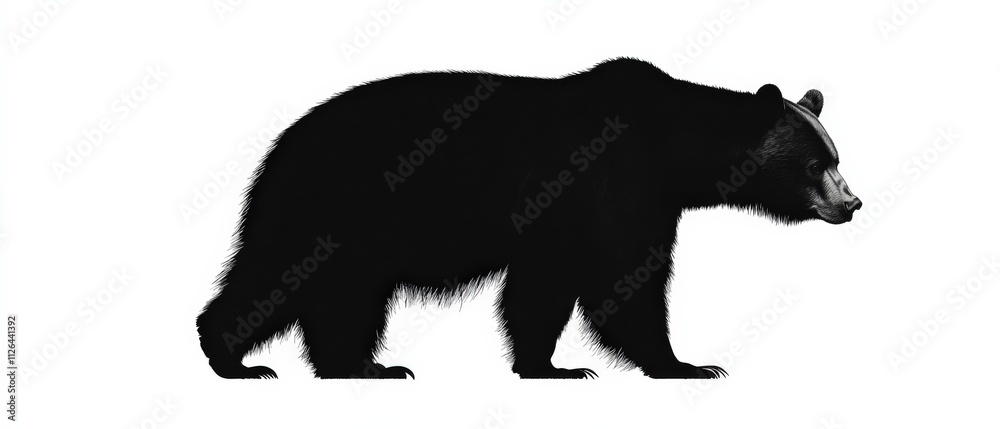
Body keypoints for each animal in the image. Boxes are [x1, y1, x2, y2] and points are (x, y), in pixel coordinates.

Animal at [196, 58, 861, 379]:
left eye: (836, 156)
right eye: (814, 164)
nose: (850, 203)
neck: (667, 147)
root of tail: (282, 143)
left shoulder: (578, 215)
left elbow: (546, 288)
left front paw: (549, 366)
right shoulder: (609, 184)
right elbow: (625, 280)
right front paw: (687, 365)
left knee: (342, 296)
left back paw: (362, 368)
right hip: (335, 204)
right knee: (282, 274)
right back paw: (236, 360)